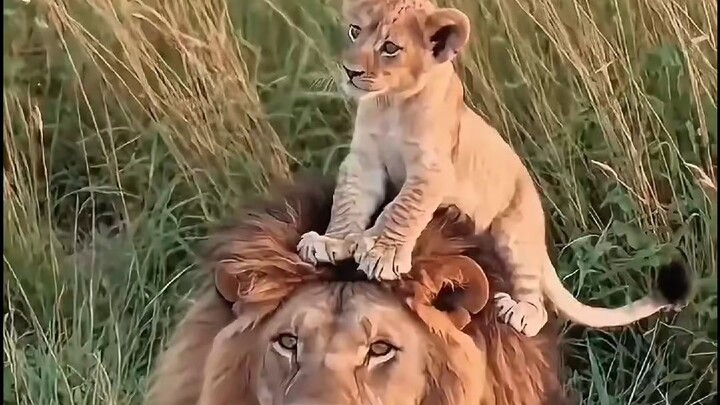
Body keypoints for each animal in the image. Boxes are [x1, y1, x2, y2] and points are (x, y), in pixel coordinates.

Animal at [296, 0, 693, 337]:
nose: (350, 71)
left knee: (537, 305)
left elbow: (401, 209)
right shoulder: (363, 161)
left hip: (514, 234)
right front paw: (334, 242)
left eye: (390, 48)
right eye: (354, 31)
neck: (390, 103)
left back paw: (519, 312)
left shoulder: (433, 169)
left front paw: (381, 251)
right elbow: (348, 203)